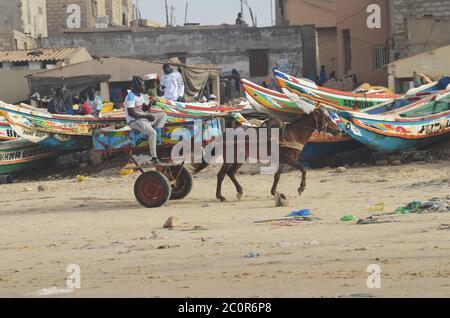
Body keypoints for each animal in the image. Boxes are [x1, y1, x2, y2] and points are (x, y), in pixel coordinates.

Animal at [192, 107, 336, 201]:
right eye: (326, 117)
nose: (337, 128)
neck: (292, 134)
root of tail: (228, 132)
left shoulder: (282, 160)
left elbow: (277, 176)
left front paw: (274, 192)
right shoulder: (289, 159)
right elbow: (303, 169)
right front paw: (301, 188)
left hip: (241, 157)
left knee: (231, 173)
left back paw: (239, 191)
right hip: (230, 157)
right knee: (221, 174)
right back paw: (220, 196)